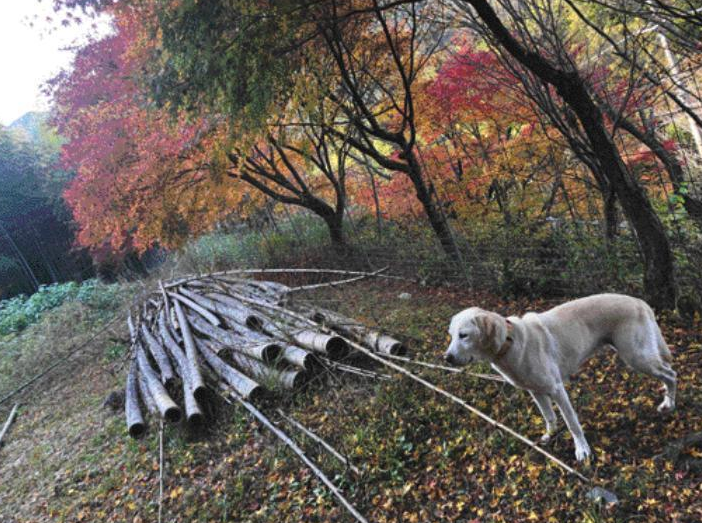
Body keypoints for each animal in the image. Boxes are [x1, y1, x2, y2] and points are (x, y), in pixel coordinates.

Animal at [446, 294, 676, 462]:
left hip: (636, 357)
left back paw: (669, 403)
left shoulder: (557, 389)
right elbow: (549, 416)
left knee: (671, 374)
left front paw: (582, 450)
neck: (509, 342)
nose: (446, 358)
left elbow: (572, 422)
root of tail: (639, 301)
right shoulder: (536, 391)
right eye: (451, 335)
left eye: (463, 335)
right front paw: (550, 435)